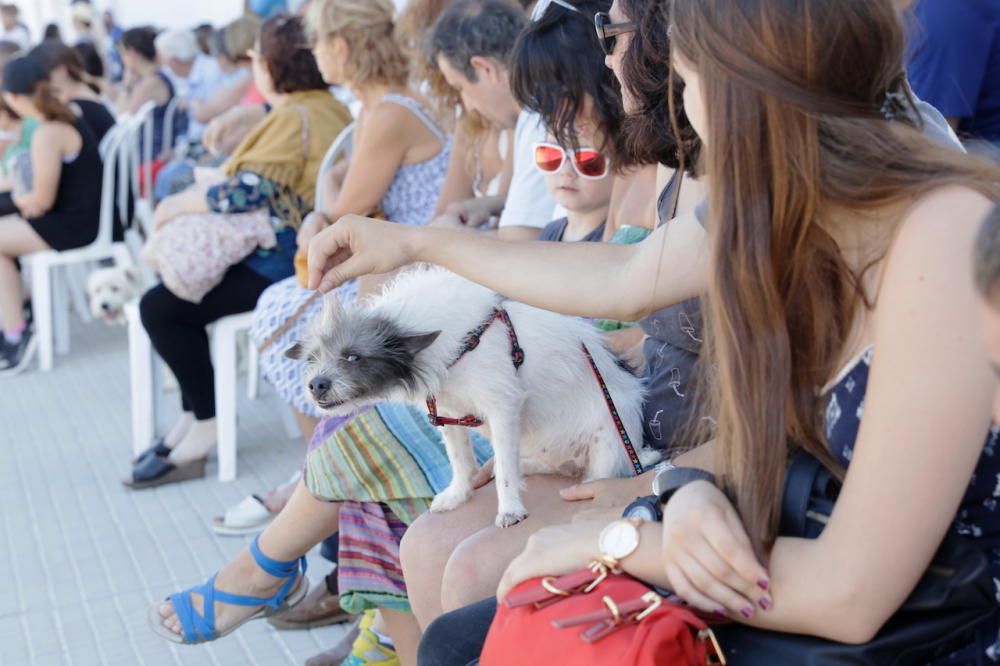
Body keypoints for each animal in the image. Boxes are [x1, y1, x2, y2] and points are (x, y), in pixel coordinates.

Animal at [288, 268, 656, 528]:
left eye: (353, 357)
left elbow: (504, 468)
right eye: (311, 359)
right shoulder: (447, 412)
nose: (316, 385)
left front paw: (510, 509)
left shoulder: (502, 406)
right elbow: (460, 460)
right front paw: (458, 494)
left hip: (608, 441)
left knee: (595, 474)